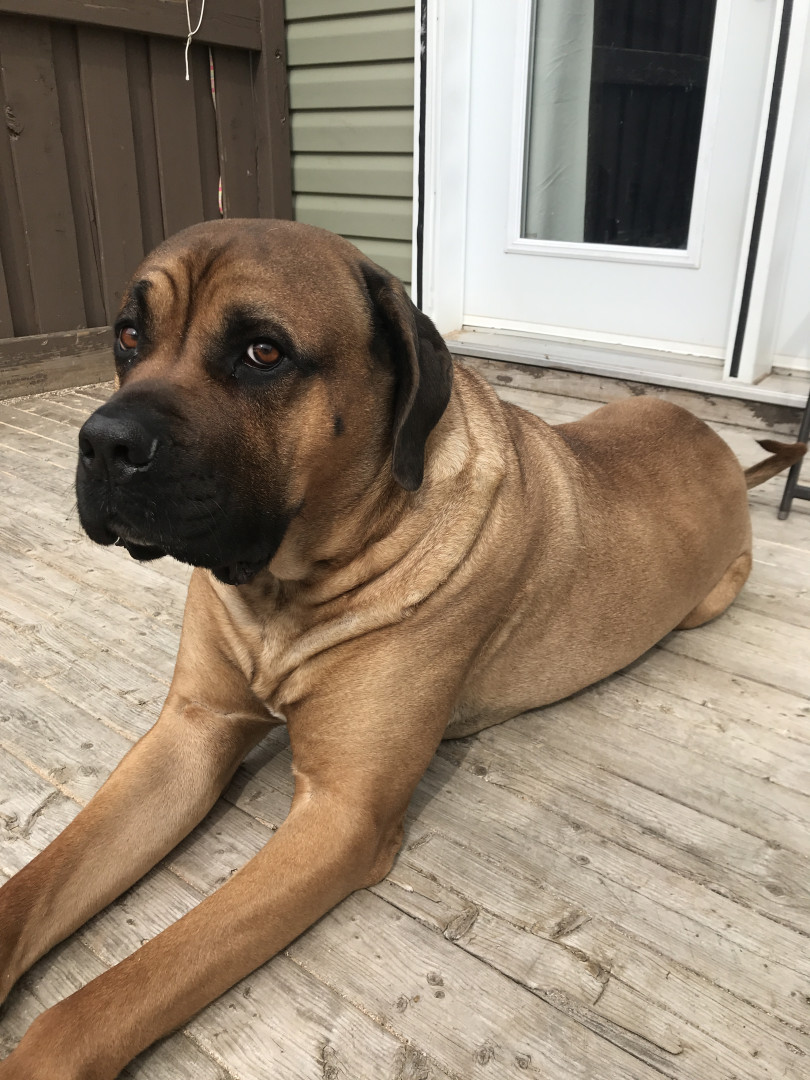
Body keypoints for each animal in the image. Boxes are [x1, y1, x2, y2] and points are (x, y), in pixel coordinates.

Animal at [0, 220, 804, 1078]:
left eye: (262, 352)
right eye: (127, 336)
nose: (103, 444)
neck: (290, 588)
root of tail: (724, 452)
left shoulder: (341, 815)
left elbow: (103, 1003)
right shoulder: (191, 731)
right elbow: (39, 888)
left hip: (707, 601)